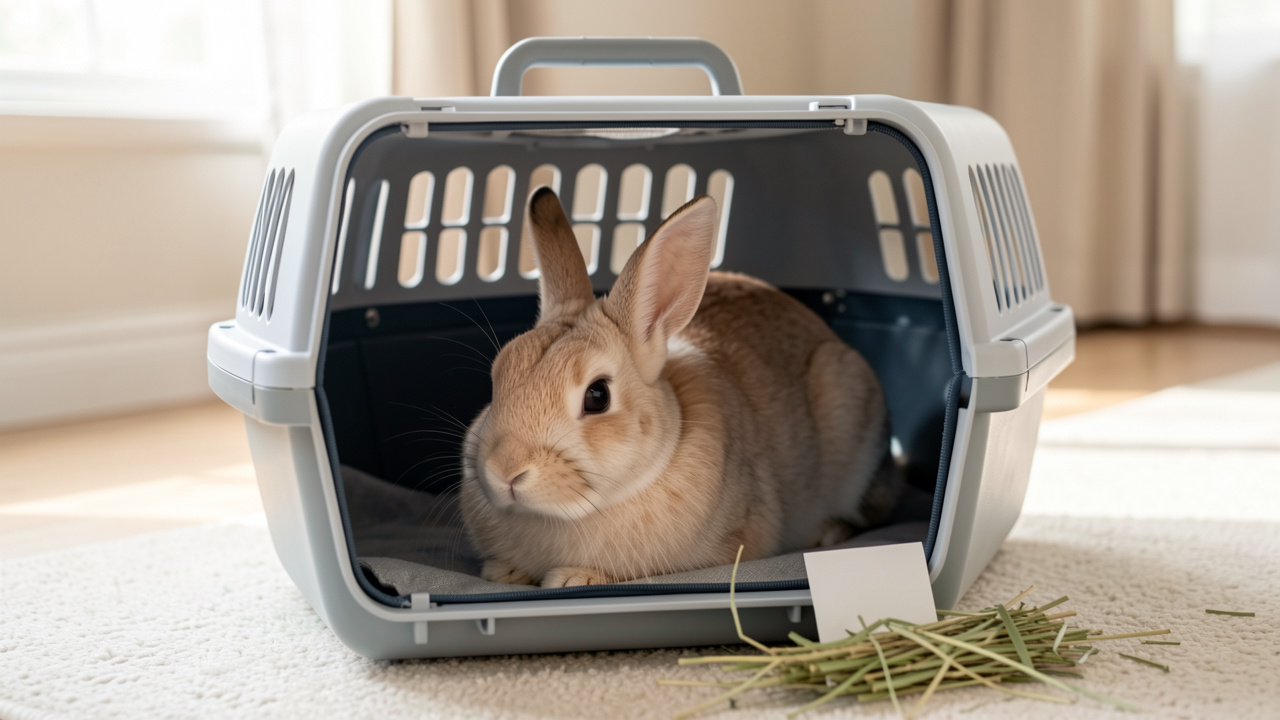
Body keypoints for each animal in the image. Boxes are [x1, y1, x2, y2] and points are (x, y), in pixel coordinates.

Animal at [459, 187, 899, 588]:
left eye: (597, 396)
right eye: (497, 379)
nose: (505, 471)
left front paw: (574, 579)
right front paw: (504, 573)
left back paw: (825, 533)